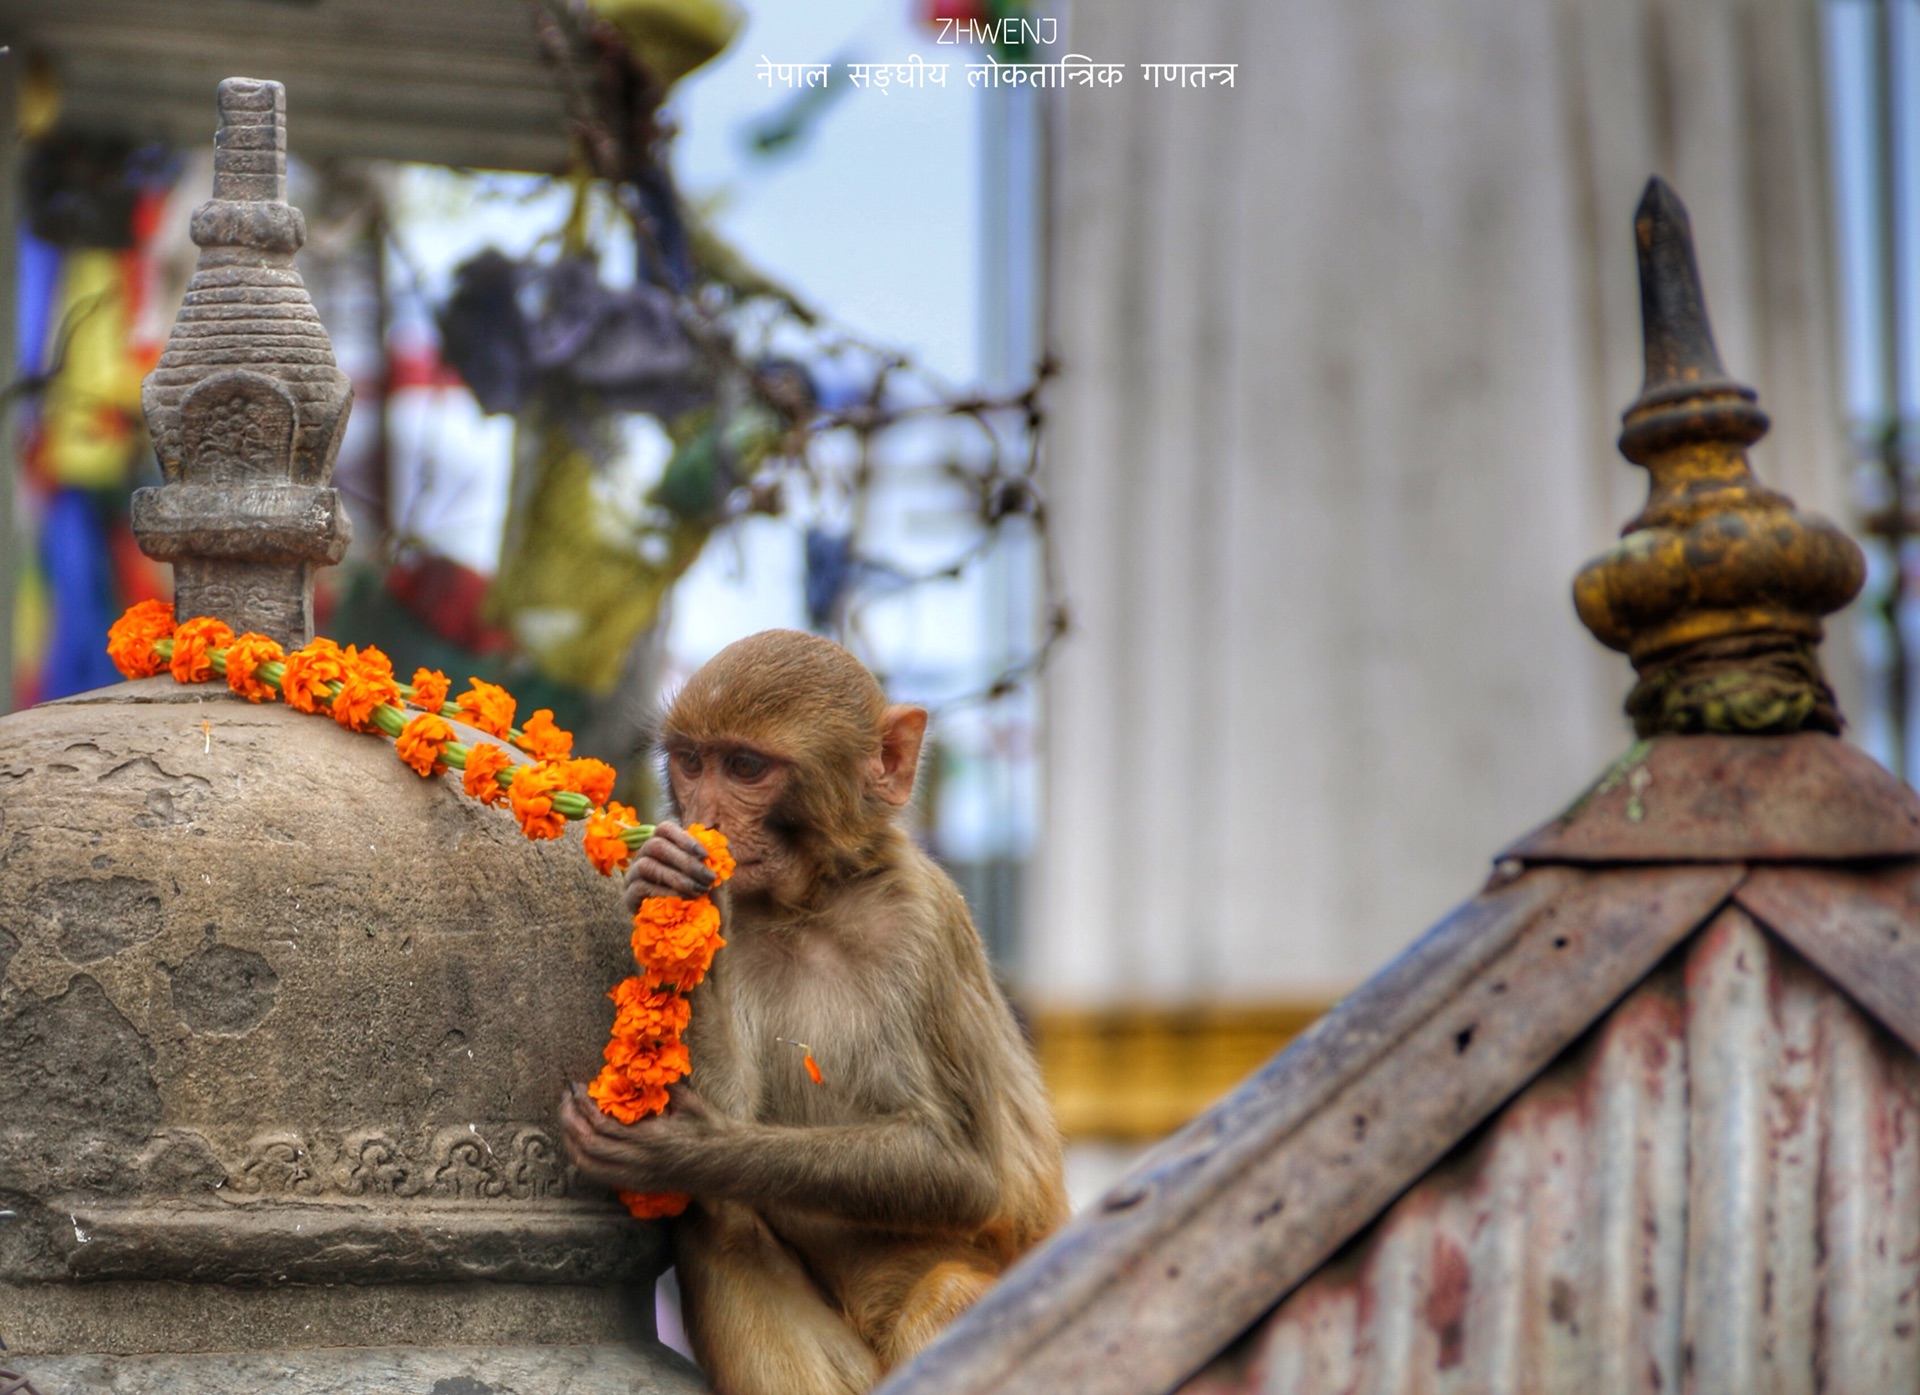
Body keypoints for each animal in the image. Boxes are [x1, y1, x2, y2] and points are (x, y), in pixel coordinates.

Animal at [556, 629, 1075, 1395]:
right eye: (692, 761)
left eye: (745, 766)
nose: (706, 822)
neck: (812, 904)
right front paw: (670, 881)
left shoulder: (926, 922)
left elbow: (967, 1170)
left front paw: (686, 1148)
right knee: (718, 1218)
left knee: (950, 1292)